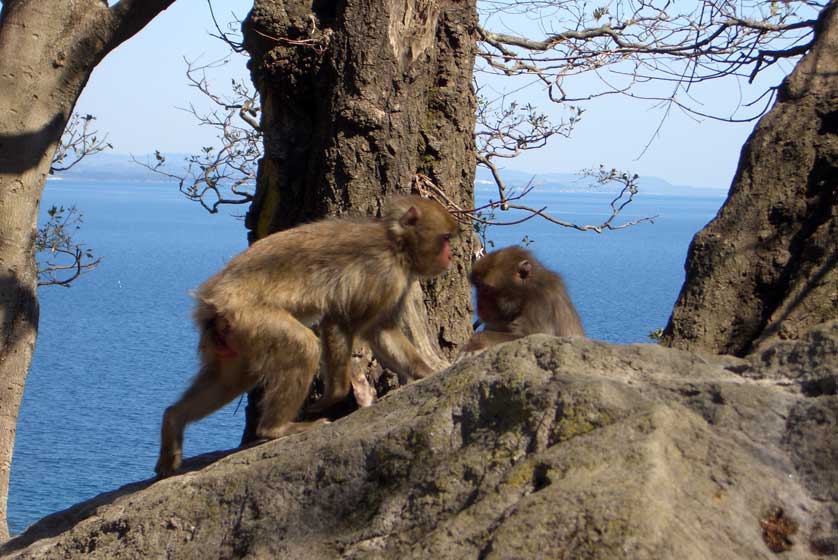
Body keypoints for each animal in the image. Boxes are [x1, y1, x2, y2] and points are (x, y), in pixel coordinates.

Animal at [157, 195, 460, 474]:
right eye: (445, 238)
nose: (450, 256)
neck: (396, 245)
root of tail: (210, 301)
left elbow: (380, 331)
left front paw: (425, 372)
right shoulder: (383, 273)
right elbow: (339, 320)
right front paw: (332, 397)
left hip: (233, 334)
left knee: (228, 379)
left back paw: (174, 420)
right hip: (248, 315)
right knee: (302, 347)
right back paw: (276, 429)